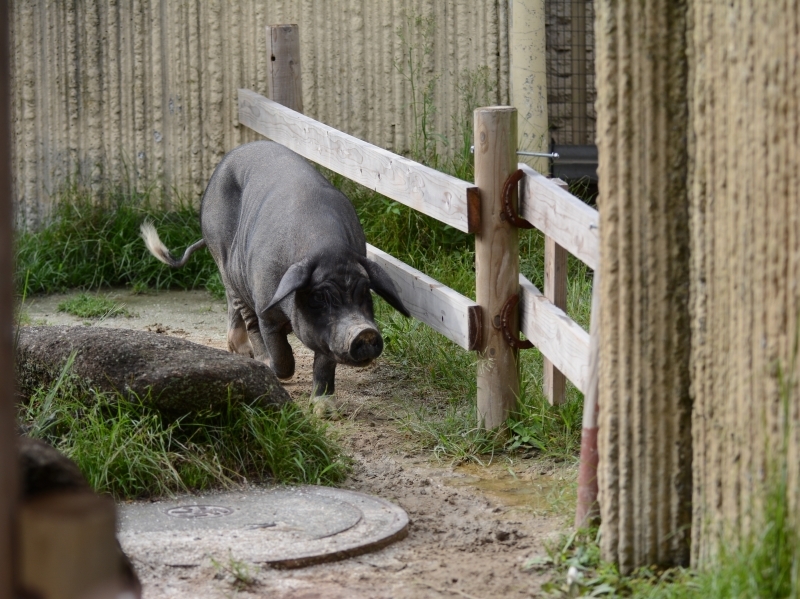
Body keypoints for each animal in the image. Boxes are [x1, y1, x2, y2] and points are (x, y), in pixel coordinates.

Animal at [140, 141, 410, 398]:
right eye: (318, 297)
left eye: (365, 292)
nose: (364, 332)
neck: (326, 249)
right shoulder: (267, 311)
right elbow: (282, 356)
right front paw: (272, 368)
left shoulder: (327, 332)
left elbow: (324, 365)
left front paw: (323, 407)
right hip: (222, 258)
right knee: (246, 316)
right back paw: (254, 357)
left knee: (232, 305)